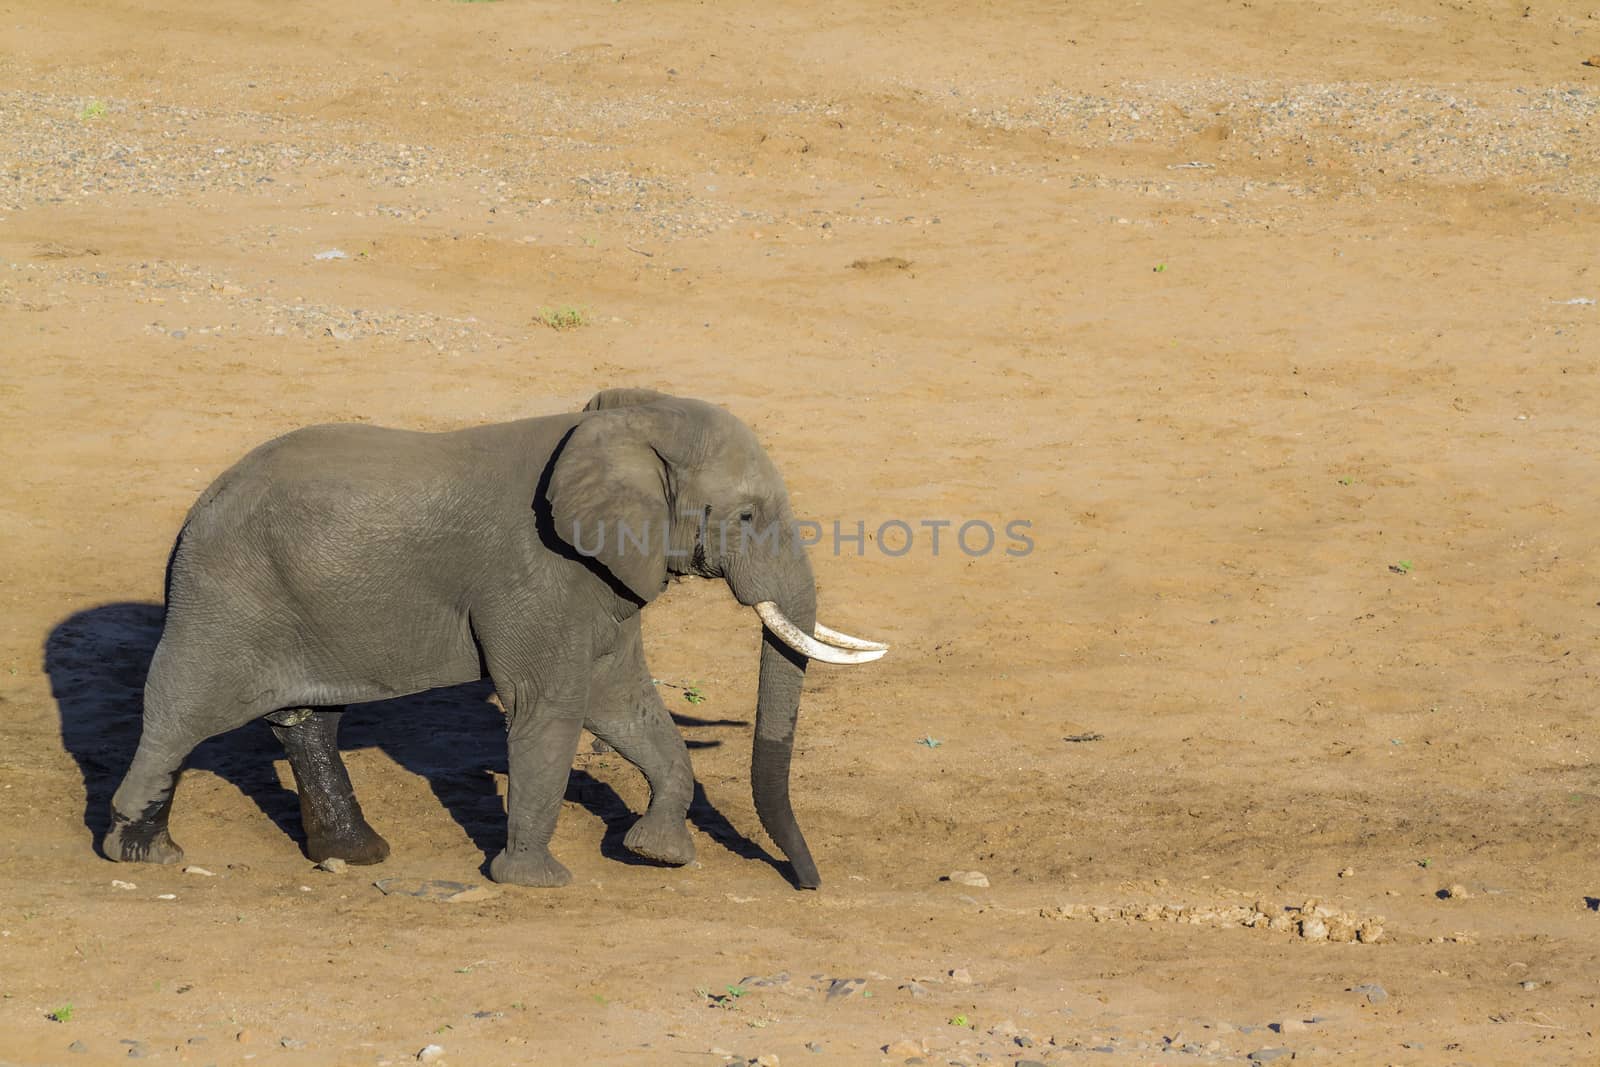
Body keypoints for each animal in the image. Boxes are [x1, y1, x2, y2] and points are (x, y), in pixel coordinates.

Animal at [109, 388, 889, 889]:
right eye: (748, 515)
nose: (808, 884)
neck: (617, 426)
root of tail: (196, 510)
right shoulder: (535, 569)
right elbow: (551, 704)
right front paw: (536, 882)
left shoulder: (598, 574)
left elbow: (620, 699)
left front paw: (659, 856)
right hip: (225, 595)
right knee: (181, 713)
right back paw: (141, 855)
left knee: (306, 720)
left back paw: (358, 856)